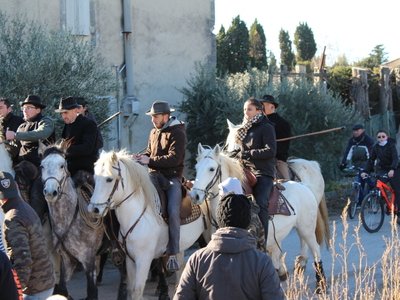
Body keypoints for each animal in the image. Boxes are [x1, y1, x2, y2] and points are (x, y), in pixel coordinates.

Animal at [88, 150, 205, 300]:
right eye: (95, 178)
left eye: (109, 179)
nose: (94, 209)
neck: (137, 215)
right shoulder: (130, 260)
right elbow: (131, 289)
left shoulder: (144, 260)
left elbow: (138, 291)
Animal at [191, 145, 328, 290]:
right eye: (196, 168)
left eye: (211, 169)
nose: (195, 196)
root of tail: (304, 186)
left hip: (307, 228)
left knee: (315, 250)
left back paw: (320, 284)